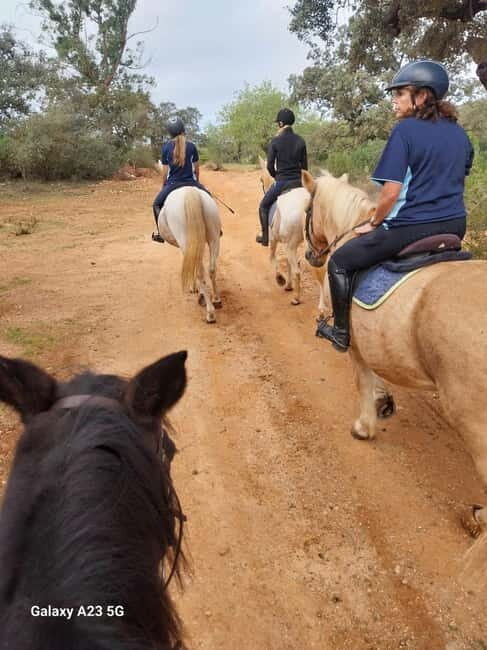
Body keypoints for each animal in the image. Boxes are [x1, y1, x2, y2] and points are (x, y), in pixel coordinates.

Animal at [157, 187, 222, 323]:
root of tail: (189, 191)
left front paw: (195, 289)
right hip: (214, 237)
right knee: (211, 269)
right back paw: (216, 300)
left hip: (185, 239)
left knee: (199, 272)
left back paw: (210, 313)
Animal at [258, 157, 310, 305]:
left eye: (261, 179)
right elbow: (287, 263)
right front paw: (288, 285)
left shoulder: (273, 240)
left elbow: (272, 258)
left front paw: (280, 279)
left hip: (290, 245)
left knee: (297, 271)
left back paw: (296, 299)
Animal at [301, 169, 487, 579]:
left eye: (306, 209)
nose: (311, 255)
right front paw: (384, 402)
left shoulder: (356, 346)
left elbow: (363, 379)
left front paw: (366, 424)